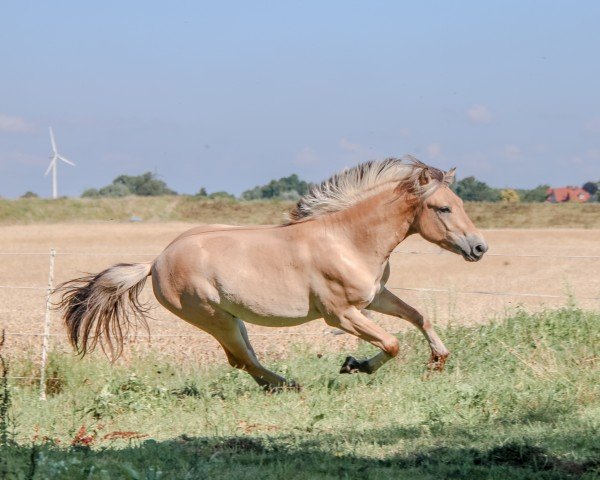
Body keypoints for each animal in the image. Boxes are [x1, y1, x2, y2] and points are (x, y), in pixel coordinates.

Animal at [56, 158, 488, 390]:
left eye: (460, 203)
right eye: (444, 208)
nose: (479, 248)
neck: (347, 239)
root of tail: (155, 262)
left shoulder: (375, 296)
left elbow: (419, 316)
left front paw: (438, 360)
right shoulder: (341, 314)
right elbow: (393, 343)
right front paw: (354, 365)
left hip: (230, 319)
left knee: (242, 359)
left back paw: (281, 386)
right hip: (214, 318)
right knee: (242, 360)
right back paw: (289, 385)